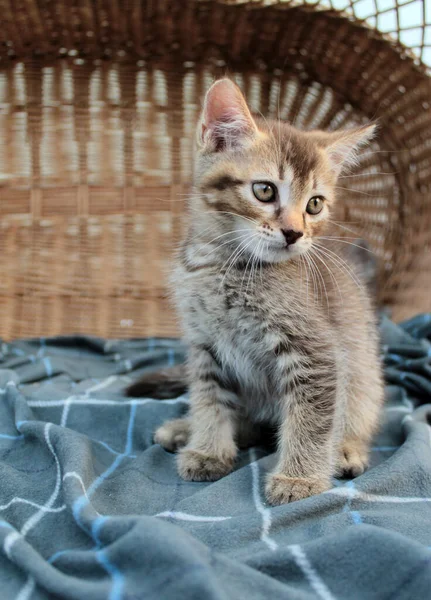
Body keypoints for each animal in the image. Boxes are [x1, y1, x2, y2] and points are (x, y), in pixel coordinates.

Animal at [130, 77, 384, 504]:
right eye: (265, 191)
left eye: (315, 204)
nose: (294, 233)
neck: (223, 266)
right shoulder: (204, 346)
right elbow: (210, 401)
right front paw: (208, 448)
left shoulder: (316, 352)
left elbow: (311, 418)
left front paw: (300, 478)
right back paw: (185, 429)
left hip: (364, 375)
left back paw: (345, 450)